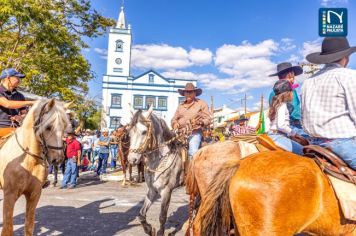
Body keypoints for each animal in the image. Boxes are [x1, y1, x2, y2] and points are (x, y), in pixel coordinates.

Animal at [0, 98, 69, 235]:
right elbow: (8, 228)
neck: (27, 159)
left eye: (64, 126)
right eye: (48, 127)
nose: (58, 159)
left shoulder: (35, 194)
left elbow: (29, 225)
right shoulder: (9, 195)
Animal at [127, 107, 184, 236]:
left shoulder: (166, 191)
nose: (132, 159)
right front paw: (149, 229)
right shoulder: (152, 190)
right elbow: (141, 214)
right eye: (129, 132)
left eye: (144, 132)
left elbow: (162, 217)